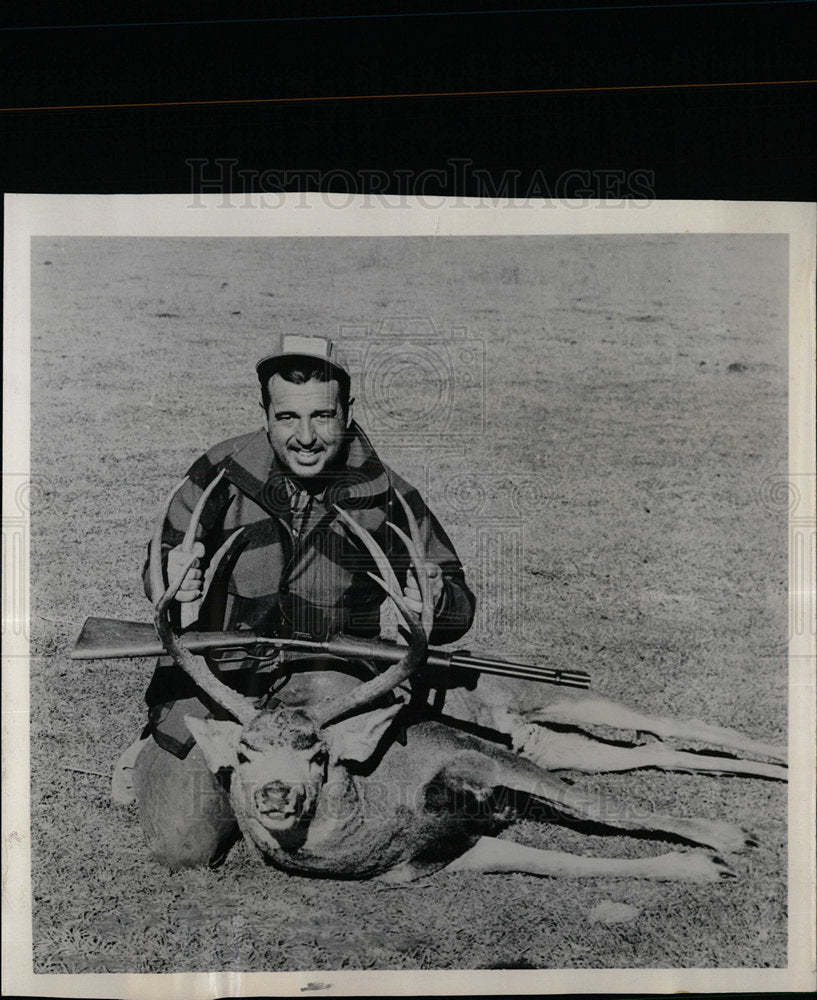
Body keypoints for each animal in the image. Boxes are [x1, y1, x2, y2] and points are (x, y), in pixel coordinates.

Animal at [134, 476, 784, 884]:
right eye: (244, 754)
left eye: (319, 753)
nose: (274, 794)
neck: (380, 807)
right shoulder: (442, 855)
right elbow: (560, 859)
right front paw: (703, 863)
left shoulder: (468, 750)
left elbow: (609, 808)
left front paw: (727, 839)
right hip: (555, 741)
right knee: (653, 751)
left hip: (552, 696)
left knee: (673, 724)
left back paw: (781, 760)